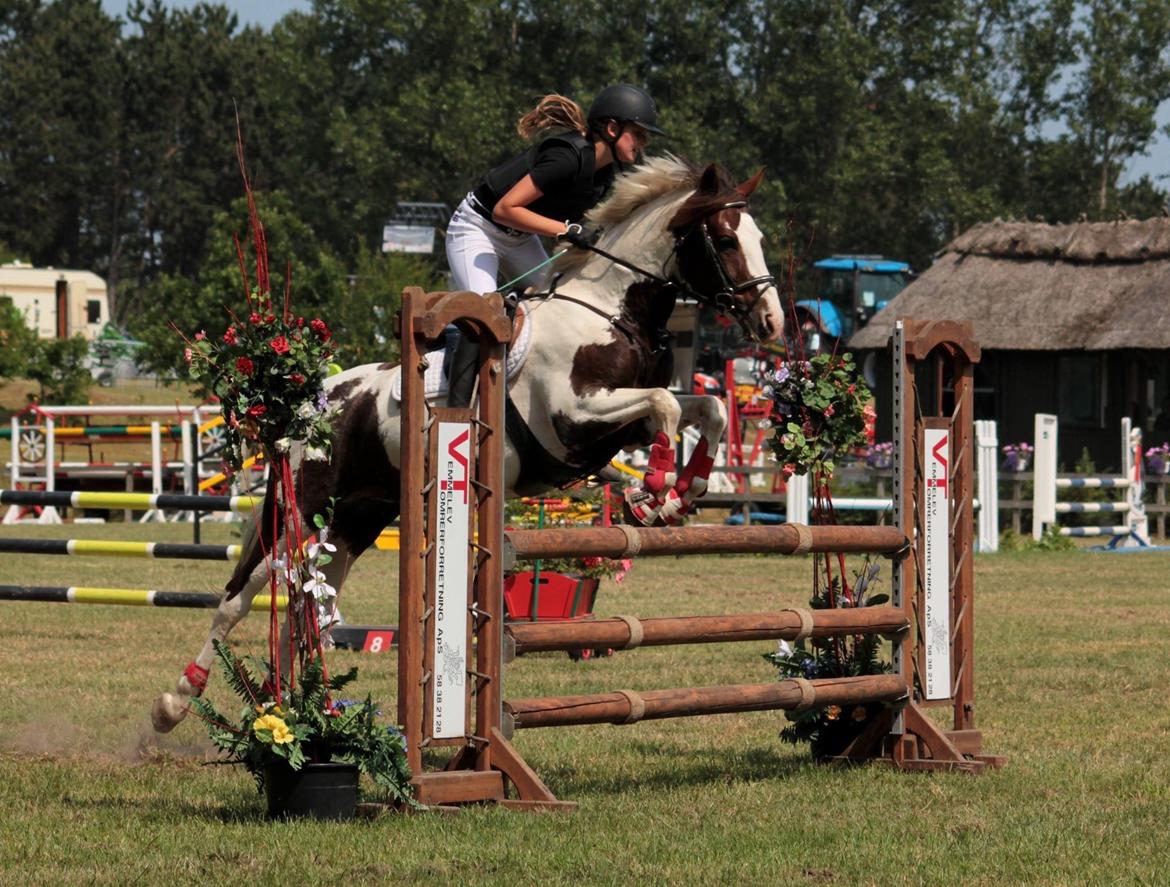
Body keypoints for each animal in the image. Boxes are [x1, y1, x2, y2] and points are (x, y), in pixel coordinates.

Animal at [150, 156, 781, 734]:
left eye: (759, 238)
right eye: (726, 240)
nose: (773, 323)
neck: (611, 312)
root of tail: (307, 401)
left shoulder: (621, 423)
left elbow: (704, 407)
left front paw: (682, 492)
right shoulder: (575, 416)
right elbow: (667, 406)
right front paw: (653, 493)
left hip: (357, 519)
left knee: (309, 602)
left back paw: (293, 706)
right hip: (300, 508)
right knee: (240, 594)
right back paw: (176, 703)